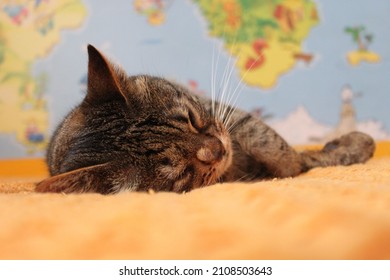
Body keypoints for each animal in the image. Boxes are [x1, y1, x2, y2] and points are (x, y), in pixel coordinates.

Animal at [35, 45, 374, 195]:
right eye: (182, 171)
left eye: (192, 119)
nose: (220, 149)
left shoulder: (228, 115)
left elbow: (274, 145)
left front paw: (349, 145)